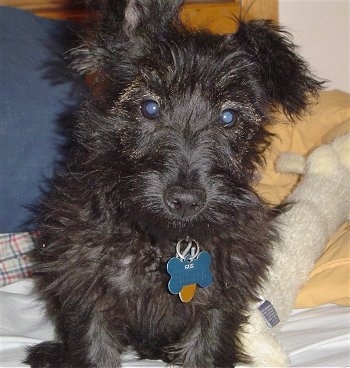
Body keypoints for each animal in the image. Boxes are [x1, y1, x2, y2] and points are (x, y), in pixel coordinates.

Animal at [23, 1, 322, 366]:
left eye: (229, 117)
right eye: (149, 107)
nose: (185, 200)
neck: (166, 240)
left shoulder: (219, 299)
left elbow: (208, 347)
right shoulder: (88, 288)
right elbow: (94, 347)